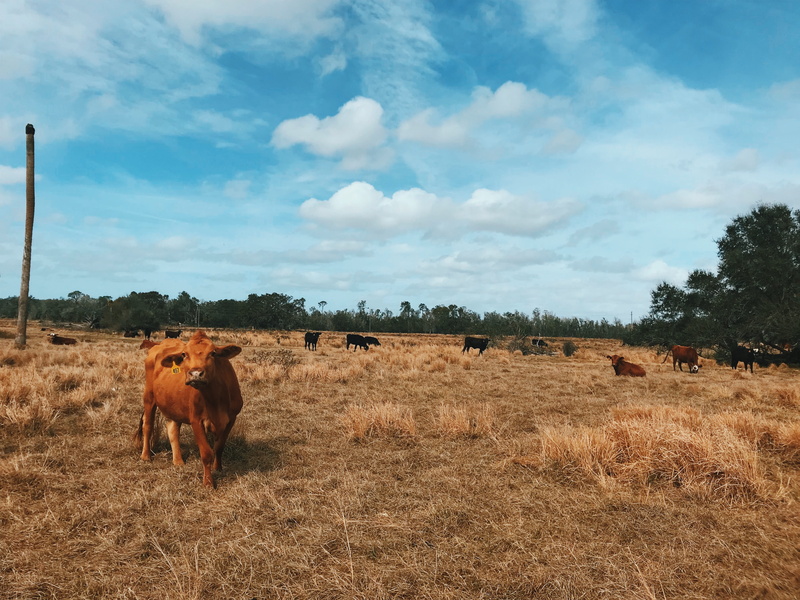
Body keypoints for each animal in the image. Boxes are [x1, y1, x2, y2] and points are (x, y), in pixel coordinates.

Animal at [135, 330, 243, 488]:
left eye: (213, 353)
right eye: (184, 354)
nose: (196, 374)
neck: (216, 399)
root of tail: (160, 344)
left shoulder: (231, 419)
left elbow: (219, 447)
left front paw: (218, 468)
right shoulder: (196, 420)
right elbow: (206, 453)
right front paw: (208, 482)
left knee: (172, 429)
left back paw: (178, 461)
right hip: (149, 397)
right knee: (147, 425)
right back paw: (146, 455)